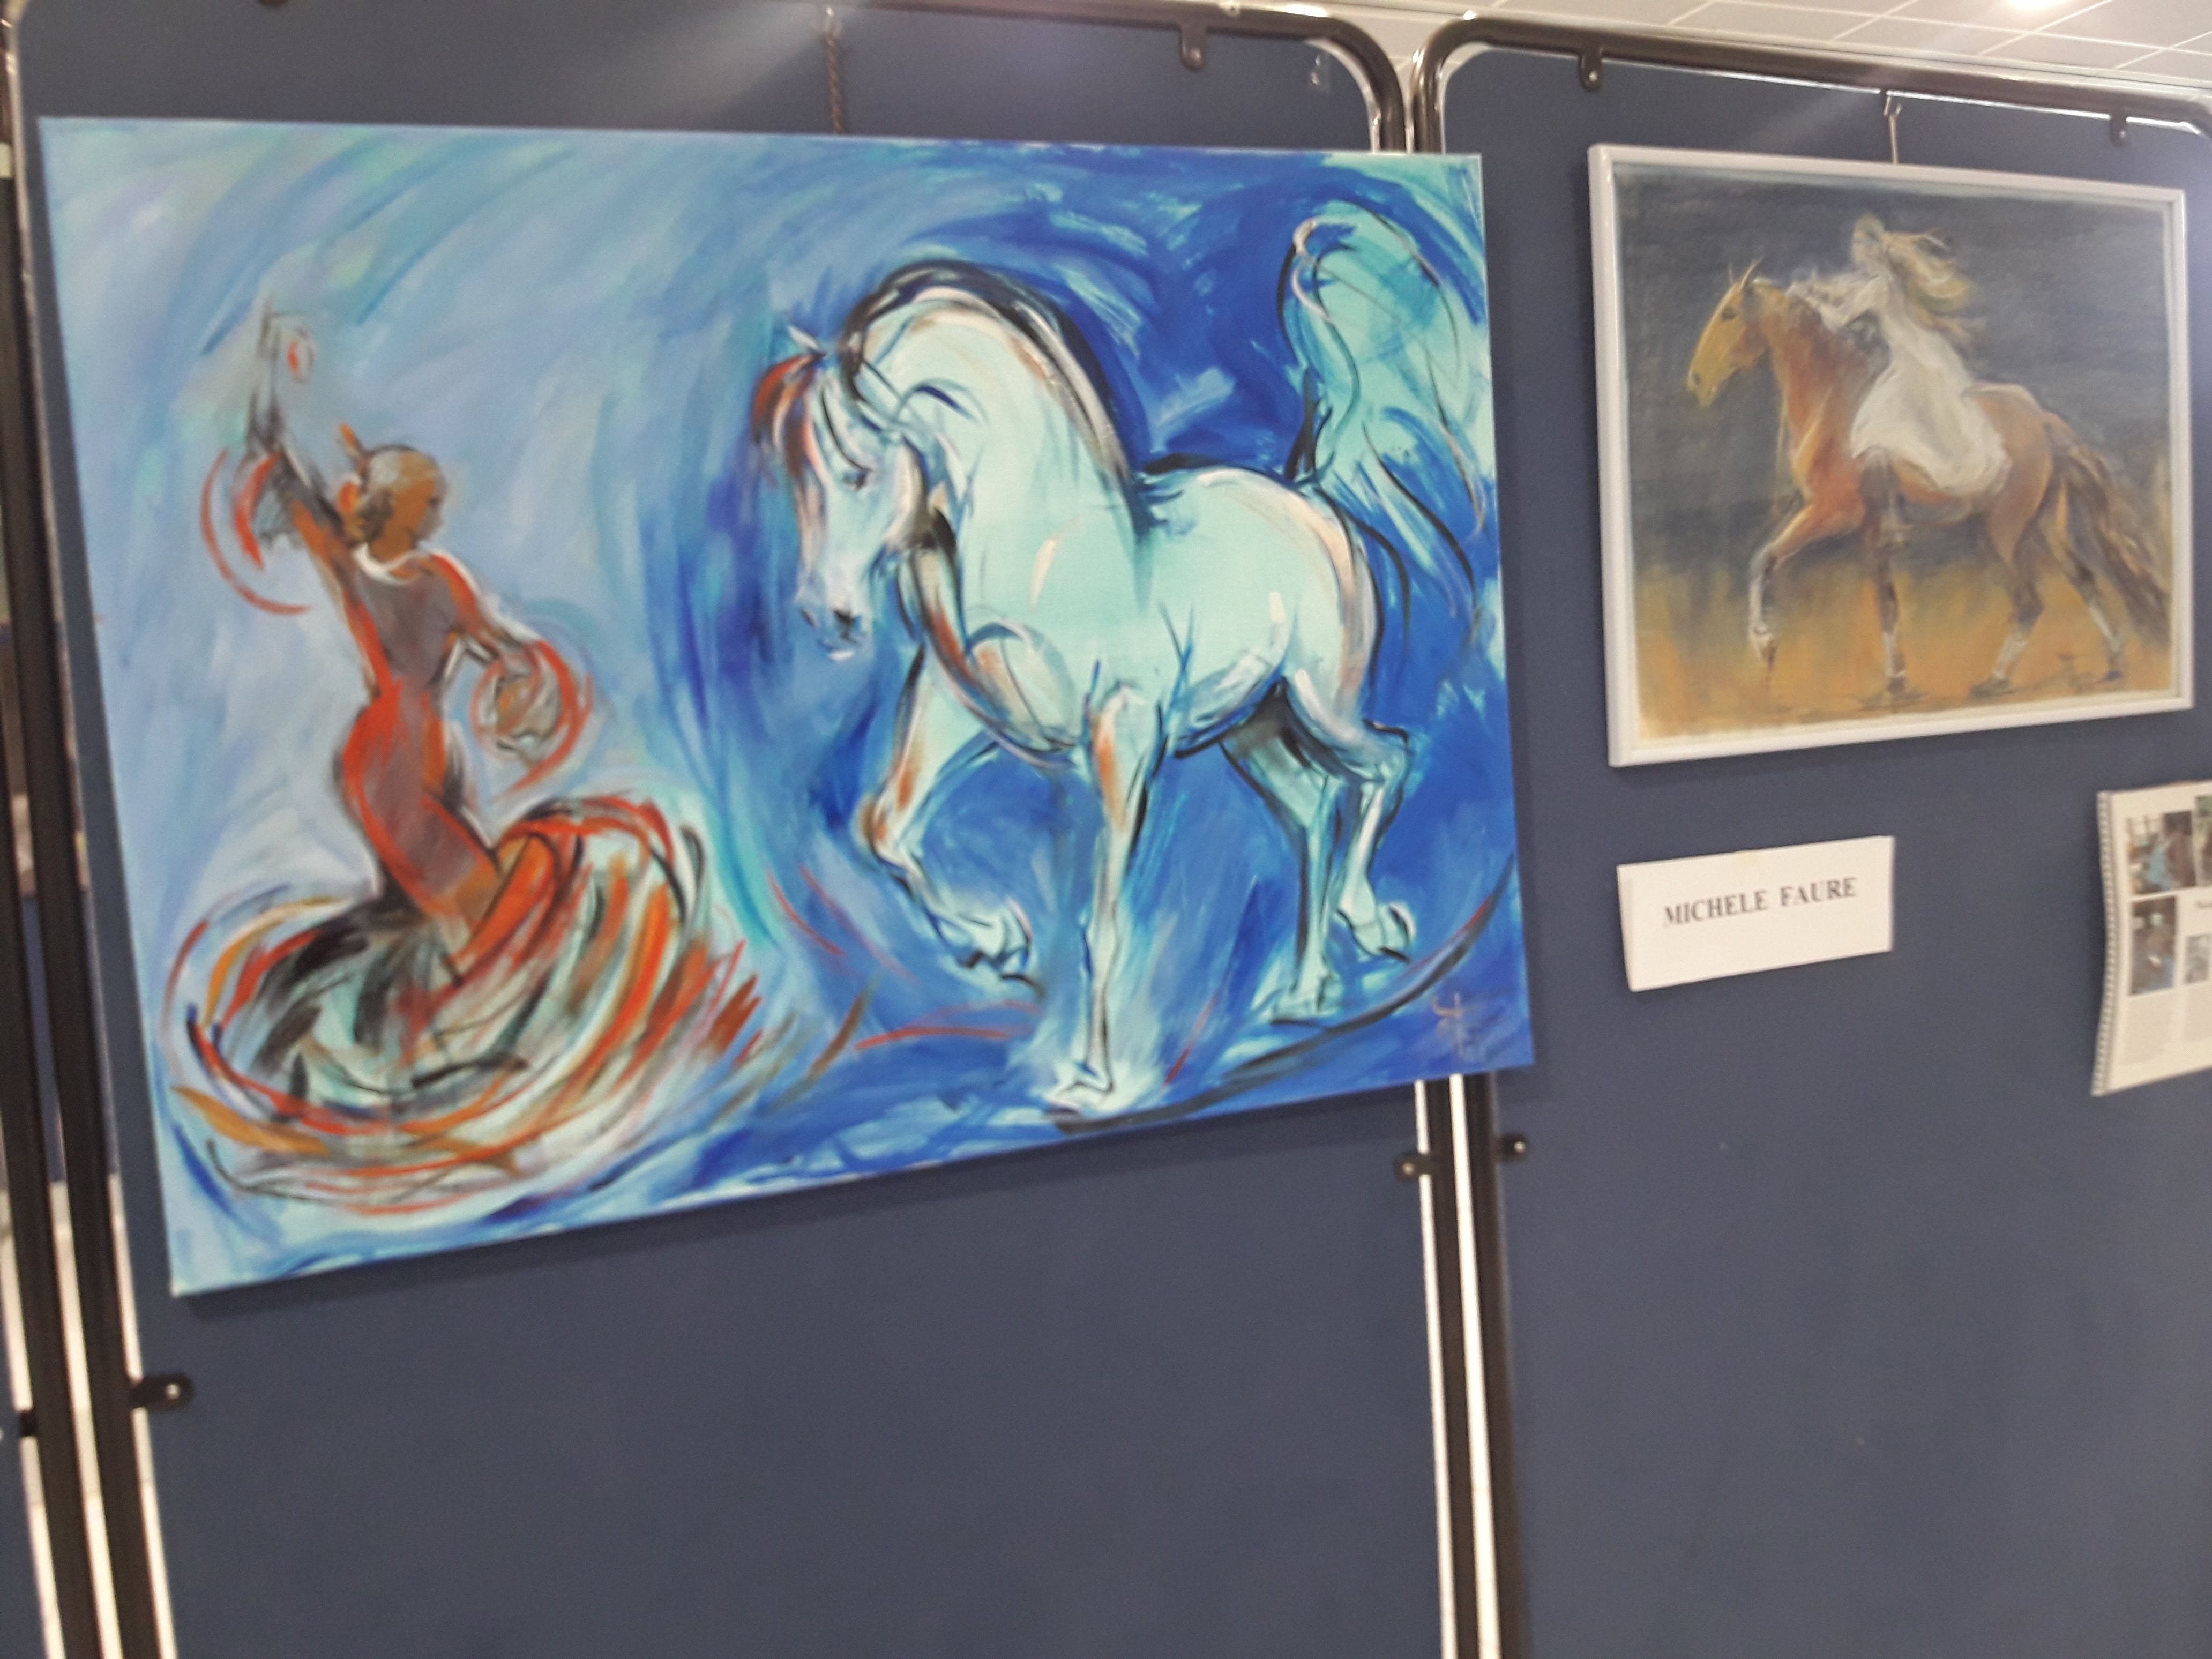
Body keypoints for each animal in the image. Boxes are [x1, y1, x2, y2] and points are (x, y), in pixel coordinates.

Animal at [754, 209, 1486, 1113]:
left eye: (856, 470)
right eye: (795, 476)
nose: (828, 615)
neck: (1040, 555)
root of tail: (1310, 501)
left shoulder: (1122, 742)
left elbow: (1100, 921)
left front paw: (1095, 1082)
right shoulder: (957, 711)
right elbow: (885, 826)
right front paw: (996, 943)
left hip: (1321, 703)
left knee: (1388, 760)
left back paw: (1368, 923)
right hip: (1251, 732)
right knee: (1314, 812)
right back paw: (1302, 994)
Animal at [1685, 265, 2167, 699]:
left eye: (1729, 314)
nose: (1696, 381)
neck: (1838, 405)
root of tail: (2043, 419)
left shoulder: (1829, 513)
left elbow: (1763, 559)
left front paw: (1765, 646)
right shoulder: (1870, 531)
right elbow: (1886, 603)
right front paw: (1897, 681)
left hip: (2004, 531)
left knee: (2030, 601)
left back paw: (1996, 681)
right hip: (2048, 522)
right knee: (2084, 578)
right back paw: (2114, 664)